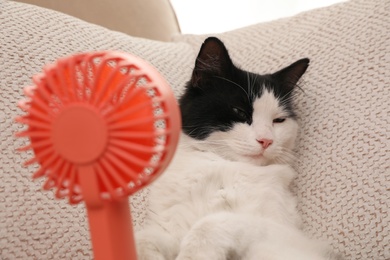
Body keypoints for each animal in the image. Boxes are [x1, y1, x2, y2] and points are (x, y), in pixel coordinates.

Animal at [136, 36, 340, 260]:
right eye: (240, 112)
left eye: (278, 120)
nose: (266, 140)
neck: (222, 165)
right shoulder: (170, 228)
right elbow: (143, 239)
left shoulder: (288, 236)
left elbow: (213, 223)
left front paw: (195, 253)